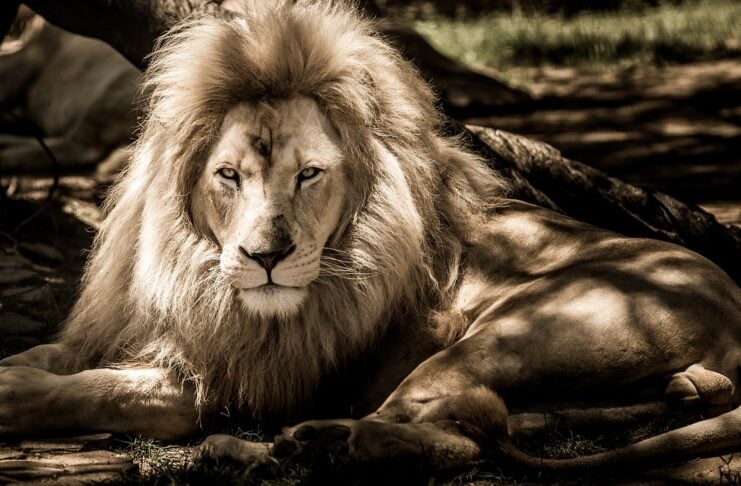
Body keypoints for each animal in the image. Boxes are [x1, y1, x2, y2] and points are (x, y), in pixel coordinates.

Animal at [0, 0, 740, 474]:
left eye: (309, 175)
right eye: (229, 176)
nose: (265, 258)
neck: (192, 269)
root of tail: (733, 305)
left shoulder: (233, 381)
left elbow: (97, 390)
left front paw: (16, 395)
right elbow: (51, 358)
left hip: (509, 335)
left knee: (451, 440)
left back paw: (280, 447)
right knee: (484, 425)